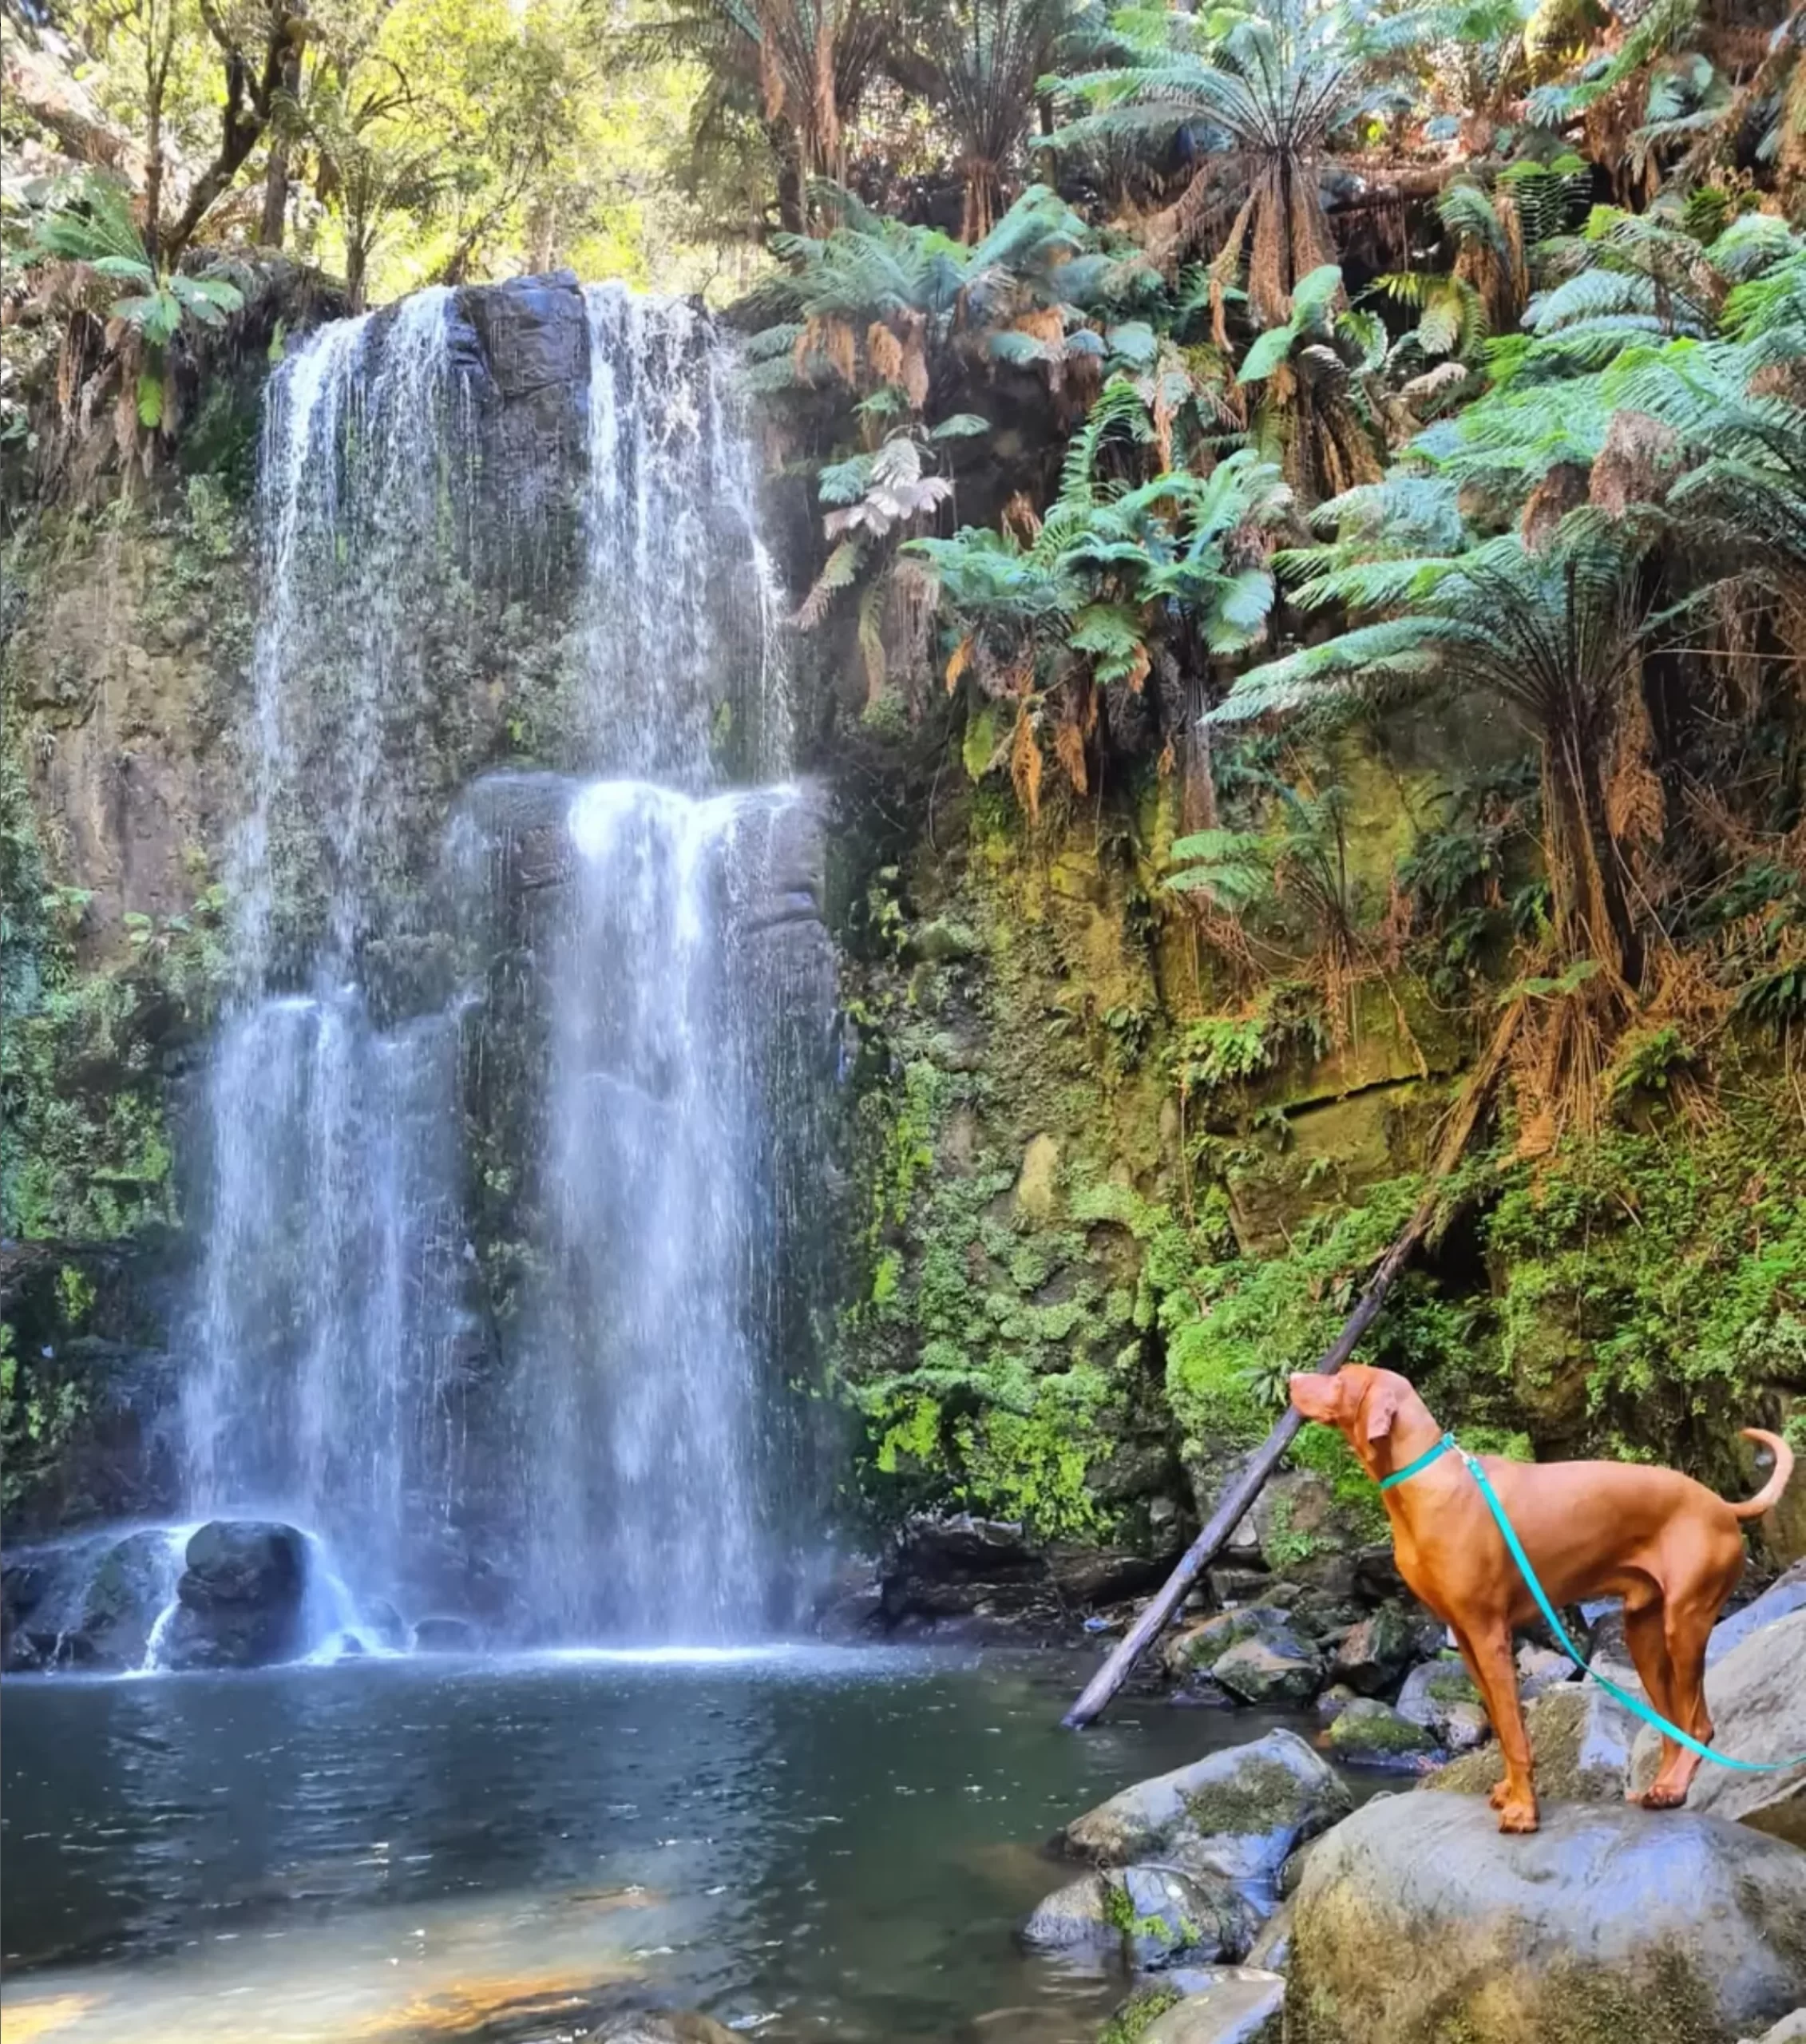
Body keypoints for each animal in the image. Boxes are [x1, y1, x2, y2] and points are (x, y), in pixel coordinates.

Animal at [1282, 1373, 1789, 1840]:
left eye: (1342, 1378)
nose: (1292, 1378)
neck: (1428, 1482)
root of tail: (1721, 1505)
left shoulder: (1490, 1634)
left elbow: (1513, 1731)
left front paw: (1525, 1812)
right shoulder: (1465, 1638)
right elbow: (1503, 1727)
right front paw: (1511, 1793)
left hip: (1685, 1624)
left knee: (1699, 1725)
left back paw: (1675, 1785)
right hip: (1643, 1634)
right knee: (1671, 1727)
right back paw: (1664, 1789)